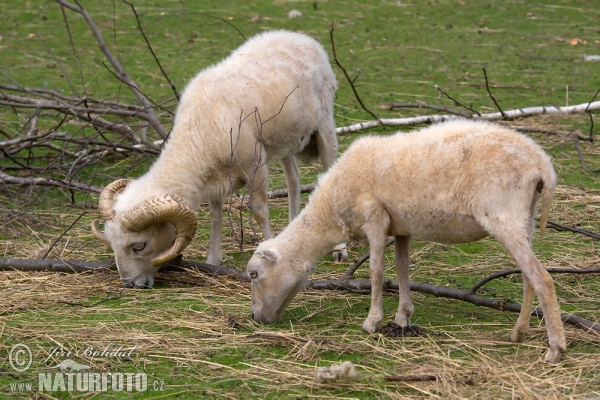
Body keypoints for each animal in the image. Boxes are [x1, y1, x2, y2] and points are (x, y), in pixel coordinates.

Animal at [92, 29, 340, 290]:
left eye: (139, 245)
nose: (130, 284)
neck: (199, 128)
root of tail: (298, 36)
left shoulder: (255, 166)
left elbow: (259, 211)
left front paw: (269, 248)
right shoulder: (213, 178)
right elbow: (215, 217)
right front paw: (213, 260)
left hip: (324, 125)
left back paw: (339, 250)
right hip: (285, 141)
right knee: (294, 179)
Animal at [246, 119, 564, 362]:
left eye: (254, 274)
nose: (255, 317)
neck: (331, 209)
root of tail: (543, 165)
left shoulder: (374, 219)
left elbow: (376, 272)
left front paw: (372, 322)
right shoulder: (401, 228)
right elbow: (402, 270)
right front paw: (402, 318)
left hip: (503, 215)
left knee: (543, 278)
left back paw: (555, 348)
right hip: (524, 217)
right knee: (528, 277)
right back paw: (519, 332)